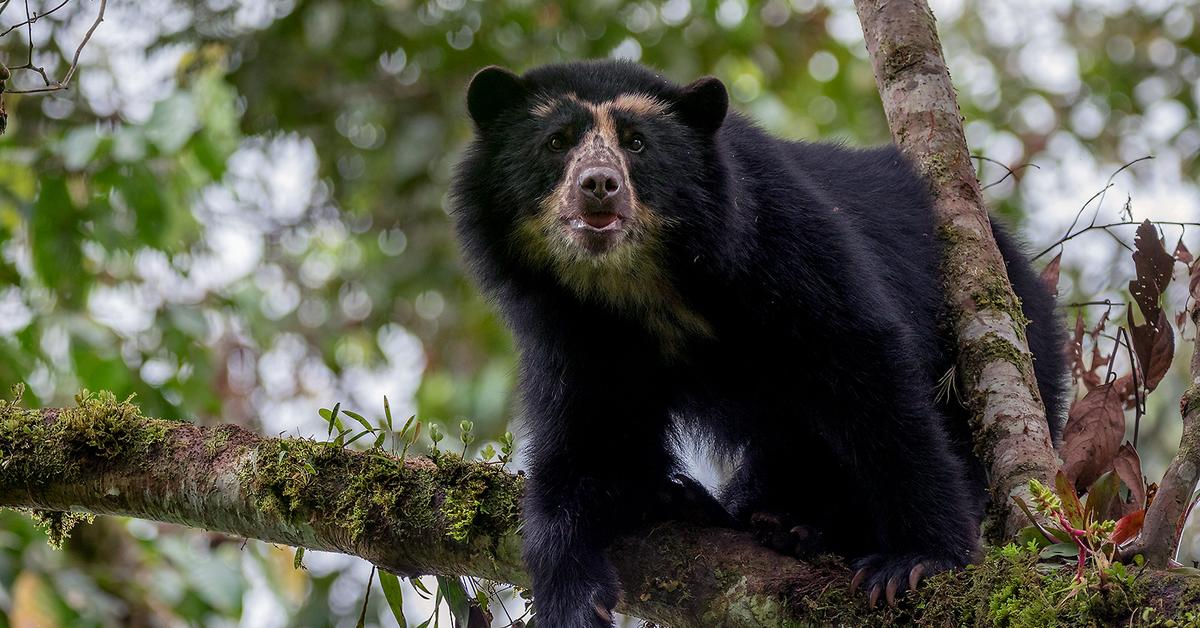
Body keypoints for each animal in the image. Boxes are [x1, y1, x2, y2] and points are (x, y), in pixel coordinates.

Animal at [451, 60, 1070, 628]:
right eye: (556, 142)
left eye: (637, 143)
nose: (599, 186)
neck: (640, 281)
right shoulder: (573, 330)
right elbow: (585, 439)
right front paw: (574, 595)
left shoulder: (776, 236)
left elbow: (866, 372)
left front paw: (915, 562)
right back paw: (719, 506)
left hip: (1010, 325)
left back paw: (803, 525)